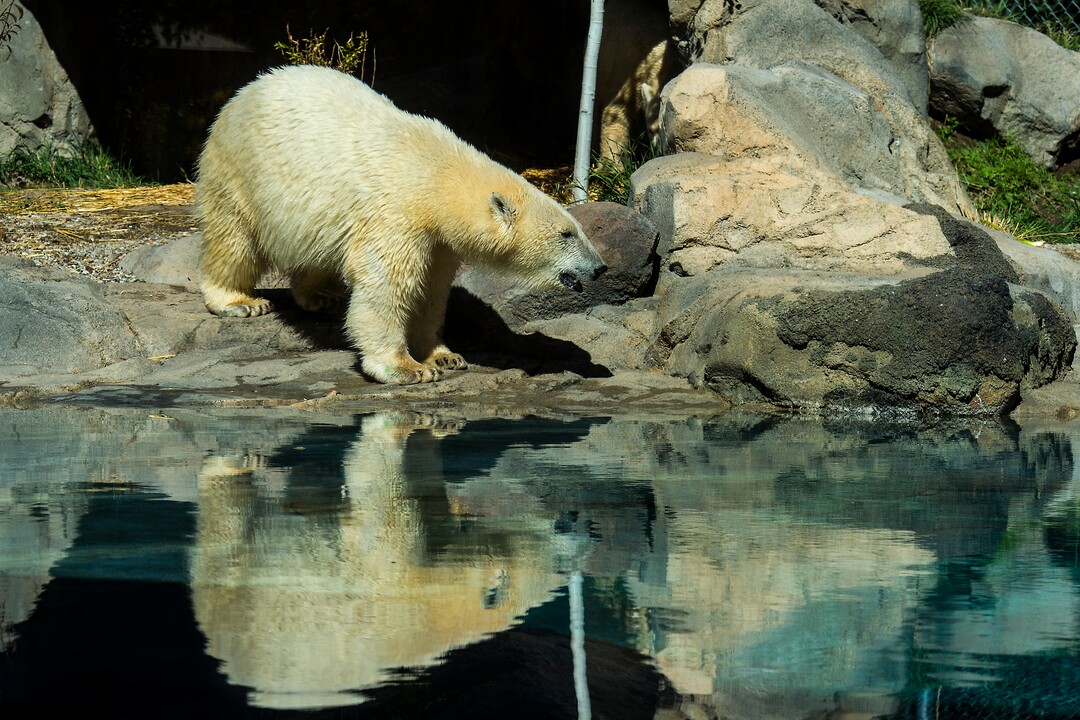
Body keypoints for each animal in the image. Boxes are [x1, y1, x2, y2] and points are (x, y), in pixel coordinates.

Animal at [196, 65, 606, 385]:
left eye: (578, 229)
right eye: (566, 234)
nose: (600, 267)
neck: (436, 176)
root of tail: (246, 89)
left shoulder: (439, 240)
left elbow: (431, 289)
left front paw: (444, 355)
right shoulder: (396, 215)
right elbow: (388, 286)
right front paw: (408, 368)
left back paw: (322, 295)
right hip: (239, 171)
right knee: (234, 238)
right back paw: (239, 302)